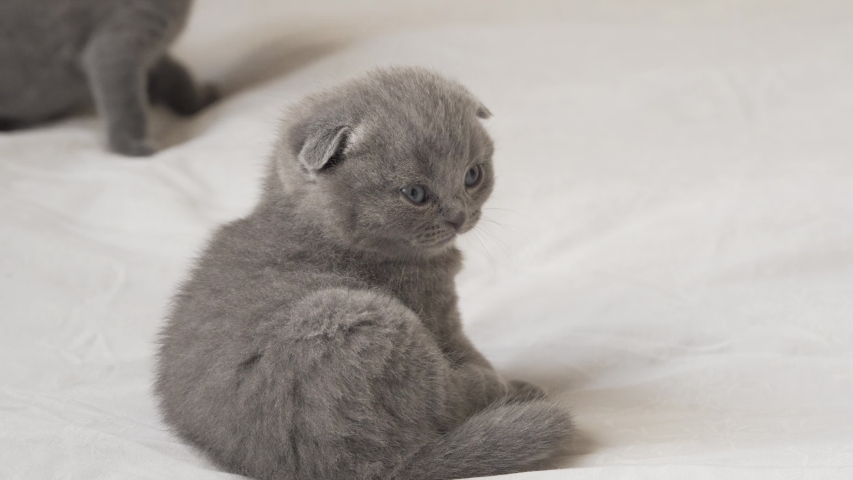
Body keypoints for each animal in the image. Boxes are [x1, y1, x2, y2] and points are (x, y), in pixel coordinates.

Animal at [0, 0, 216, 156]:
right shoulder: (114, 47)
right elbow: (127, 105)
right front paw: (130, 146)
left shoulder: (154, 51)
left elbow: (178, 75)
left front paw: (198, 101)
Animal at [155, 67, 572, 480]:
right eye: (415, 194)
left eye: (473, 175)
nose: (458, 217)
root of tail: (370, 468)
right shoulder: (437, 314)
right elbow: (468, 351)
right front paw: (501, 378)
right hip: (368, 319)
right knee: (445, 401)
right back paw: (511, 391)